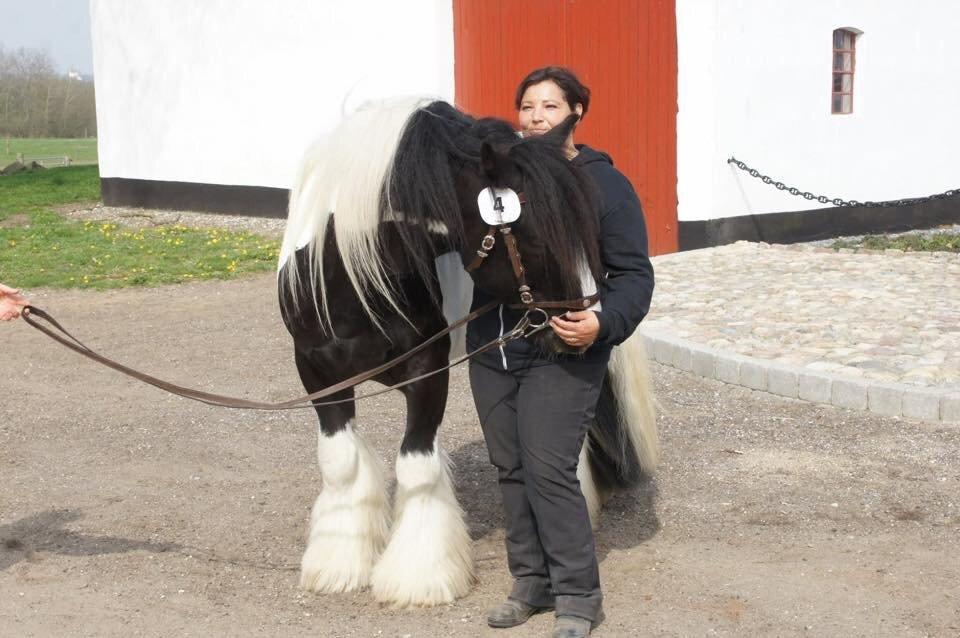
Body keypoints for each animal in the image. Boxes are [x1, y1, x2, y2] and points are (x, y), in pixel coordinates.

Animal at [274, 96, 656, 608]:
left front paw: (418, 576)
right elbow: (340, 462)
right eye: (536, 237)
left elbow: (416, 465)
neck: (350, 278)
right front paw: (339, 561)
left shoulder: (428, 371)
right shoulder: (317, 373)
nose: (578, 325)